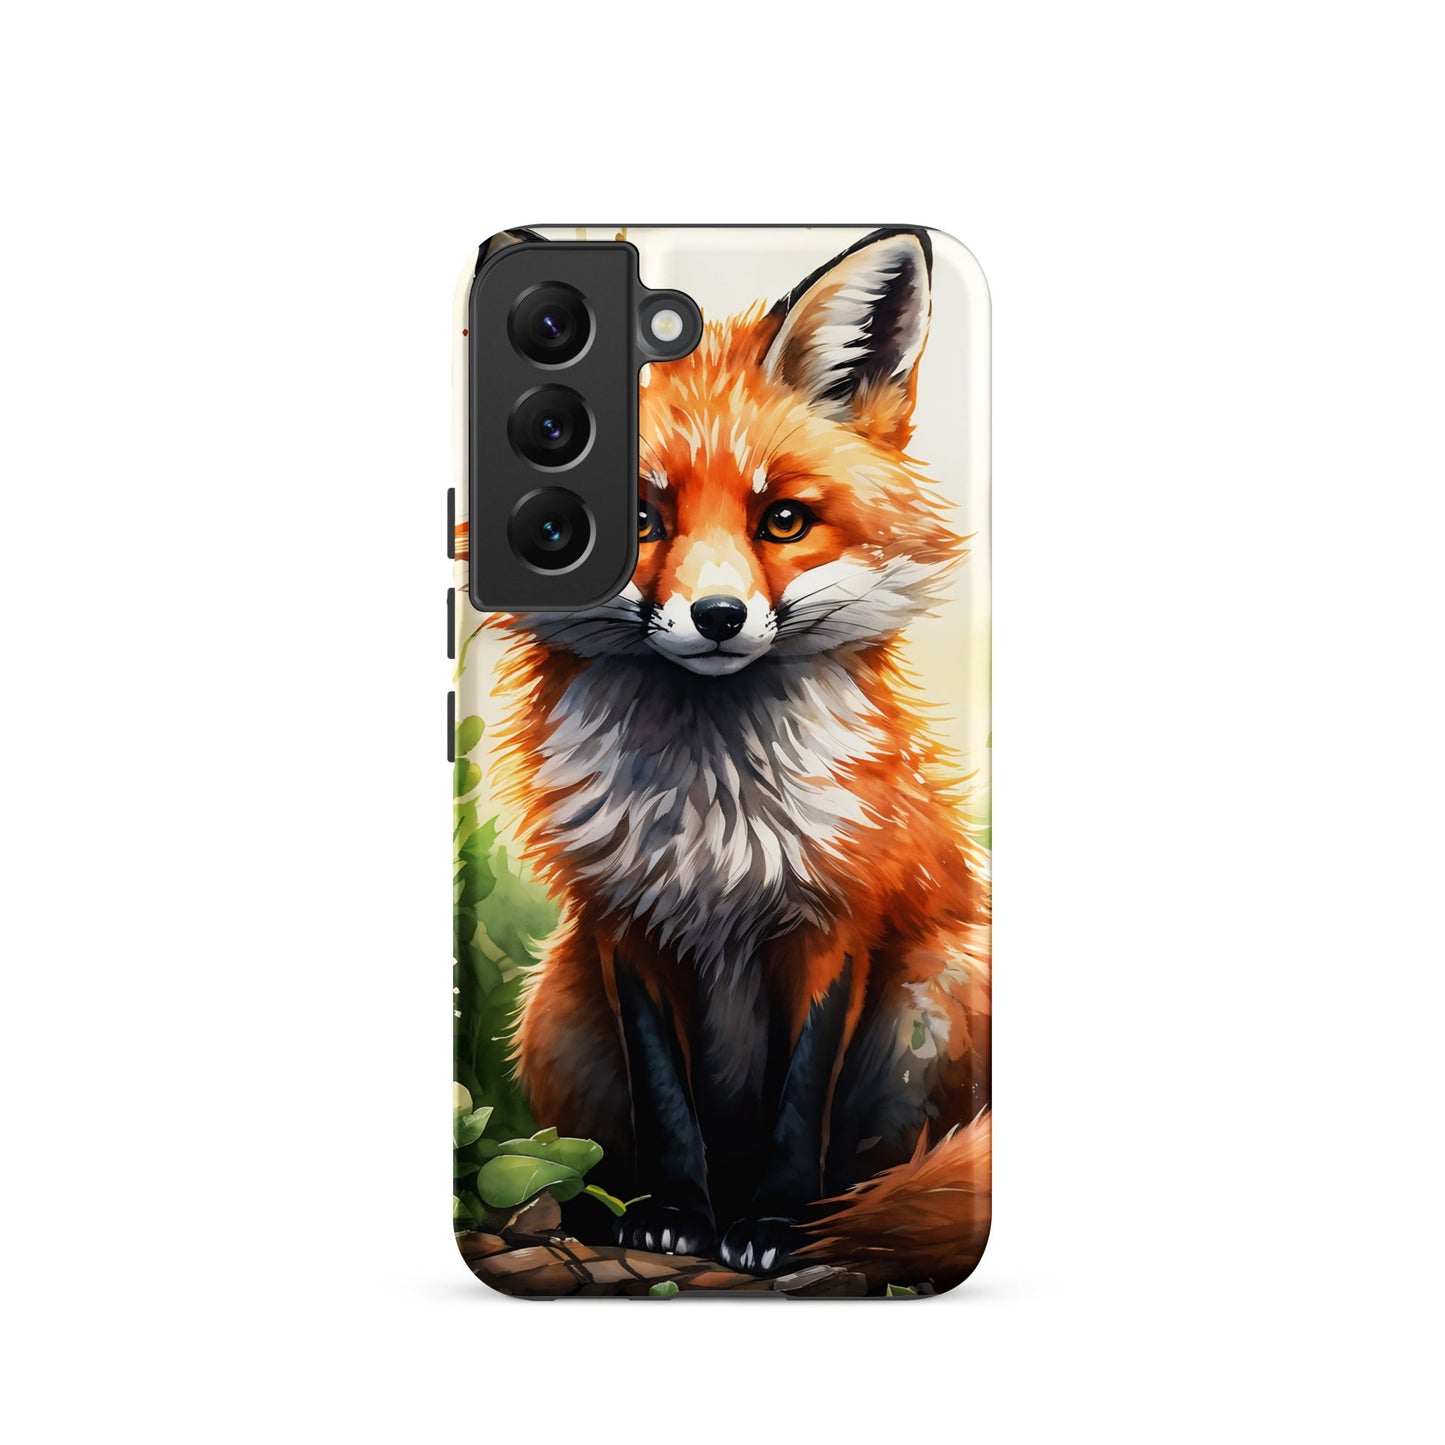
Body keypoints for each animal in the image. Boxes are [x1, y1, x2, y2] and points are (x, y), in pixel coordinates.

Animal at [493, 228, 991, 1289]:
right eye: (639, 521)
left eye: (783, 520)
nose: (718, 616)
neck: (713, 819)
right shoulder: (622, 921)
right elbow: (666, 1099)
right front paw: (676, 1213)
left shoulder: (836, 917)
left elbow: (800, 1099)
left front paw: (773, 1223)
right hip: (556, 1002)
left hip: (936, 993)